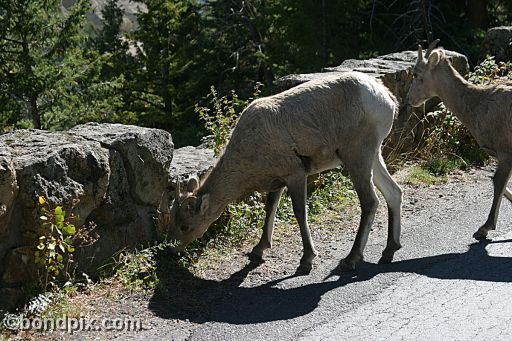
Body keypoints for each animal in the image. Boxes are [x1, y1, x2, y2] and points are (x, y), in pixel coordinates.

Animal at [170, 72, 402, 274]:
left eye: (185, 226)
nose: (174, 251)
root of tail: (387, 99)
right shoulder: (278, 180)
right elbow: (270, 208)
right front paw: (258, 249)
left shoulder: (296, 175)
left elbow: (300, 213)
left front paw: (306, 261)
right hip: (373, 156)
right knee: (394, 192)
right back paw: (388, 252)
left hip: (357, 155)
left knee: (370, 201)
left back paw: (351, 259)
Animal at [408, 39, 512, 239]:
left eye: (417, 74)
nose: (409, 99)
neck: (479, 105)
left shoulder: (505, 151)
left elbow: (498, 183)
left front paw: (484, 228)